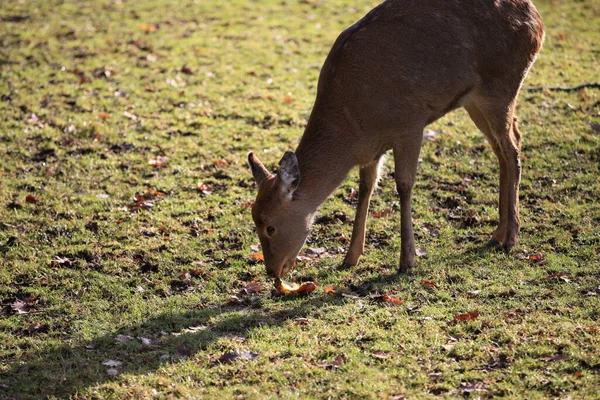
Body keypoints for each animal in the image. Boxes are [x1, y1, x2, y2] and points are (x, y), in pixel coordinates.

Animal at [247, 0, 544, 278]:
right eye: (254, 219)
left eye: (270, 226)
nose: (272, 270)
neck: (354, 127)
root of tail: (536, 19)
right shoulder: (371, 150)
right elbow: (366, 187)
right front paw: (350, 257)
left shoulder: (410, 124)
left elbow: (404, 185)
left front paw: (407, 261)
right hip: (475, 100)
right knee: (507, 142)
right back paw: (497, 234)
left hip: (502, 85)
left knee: (512, 149)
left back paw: (511, 238)